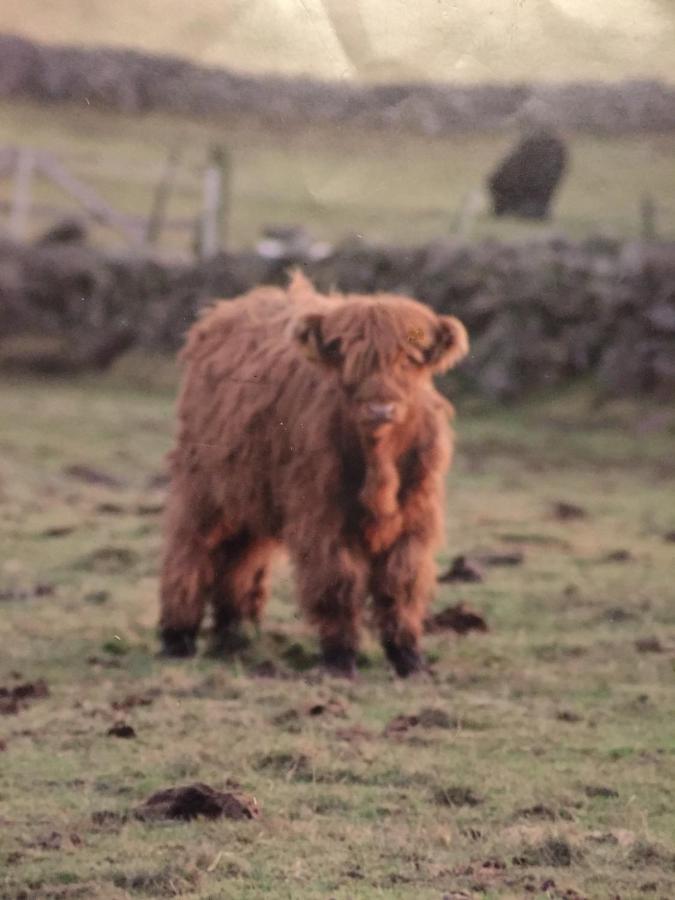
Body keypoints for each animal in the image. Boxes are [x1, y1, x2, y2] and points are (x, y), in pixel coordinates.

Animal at [160, 272, 468, 676]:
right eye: (349, 358)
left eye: (410, 359)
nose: (380, 408)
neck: (378, 460)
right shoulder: (322, 515)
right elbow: (337, 580)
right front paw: (339, 658)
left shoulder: (415, 517)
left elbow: (401, 582)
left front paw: (409, 658)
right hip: (203, 486)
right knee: (190, 550)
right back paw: (177, 637)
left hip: (252, 493)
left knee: (242, 559)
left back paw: (234, 636)